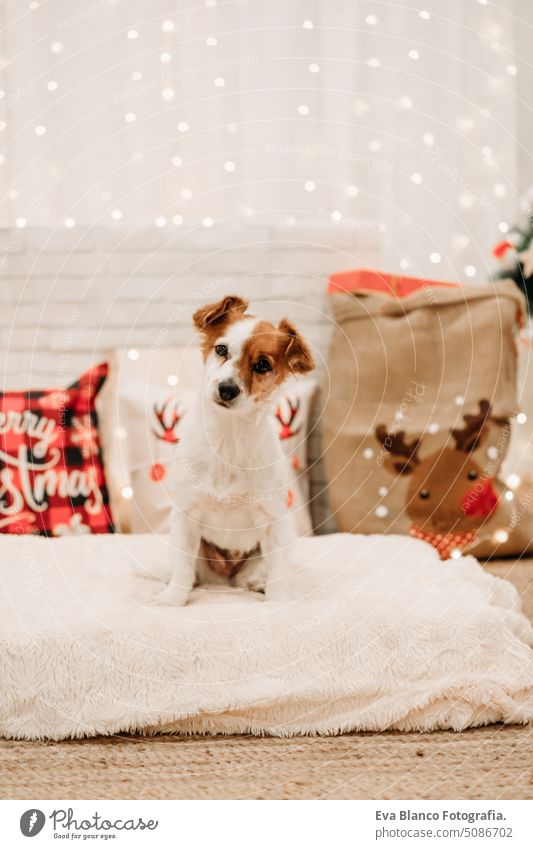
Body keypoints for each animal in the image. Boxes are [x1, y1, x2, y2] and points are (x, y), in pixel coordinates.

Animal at [157, 294, 316, 608]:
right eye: (221, 349)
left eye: (263, 365)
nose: (227, 389)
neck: (228, 439)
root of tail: (225, 578)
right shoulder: (186, 516)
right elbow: (182, 568)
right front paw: (173, 599)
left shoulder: (274, 521)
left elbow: (279, 572)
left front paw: (278, 602)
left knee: (257, 572)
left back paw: (255, 582)